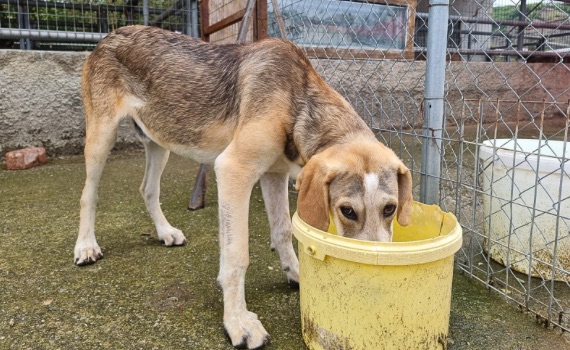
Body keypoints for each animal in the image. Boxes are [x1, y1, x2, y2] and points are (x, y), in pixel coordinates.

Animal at [75, 26, 410, 348]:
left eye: (390, 209)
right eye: (347, 211)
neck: (298, 100)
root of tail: (109, 36)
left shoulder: (273, 174)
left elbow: (282, 230)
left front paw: (296, 274)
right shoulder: (233, 171)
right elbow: (237, 256)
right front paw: (237, 322)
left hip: (160, 140)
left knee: (148, 189)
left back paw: (165, 232)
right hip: (101, 136)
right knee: (88, 194)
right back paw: (86, 246)